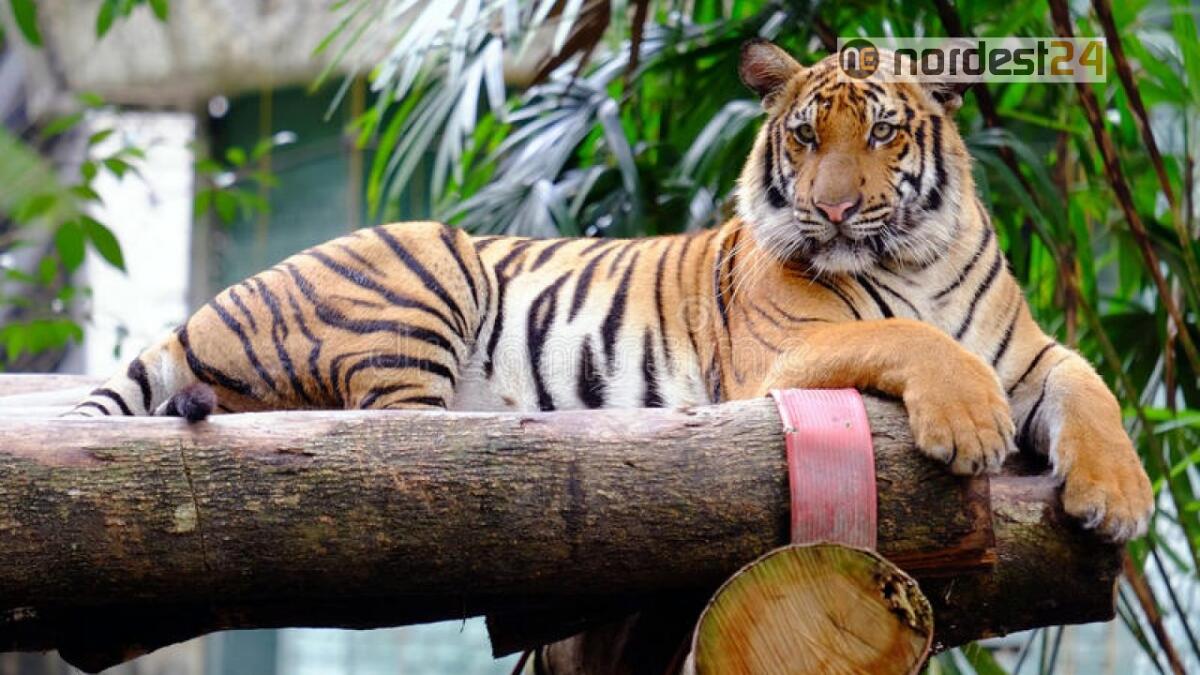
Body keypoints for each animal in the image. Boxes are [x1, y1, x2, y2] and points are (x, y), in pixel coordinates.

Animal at [70, 39, 1153, 543]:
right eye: (806, 137)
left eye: (883, 133)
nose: (836, 210)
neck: (911, 258)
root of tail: (220, 302)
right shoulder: (784, 352)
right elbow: (920, 343)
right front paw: (970, 426)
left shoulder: (1033, 350)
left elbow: (1090, 382)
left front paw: (1119, 496)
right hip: (424, 265)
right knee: (395, 437)